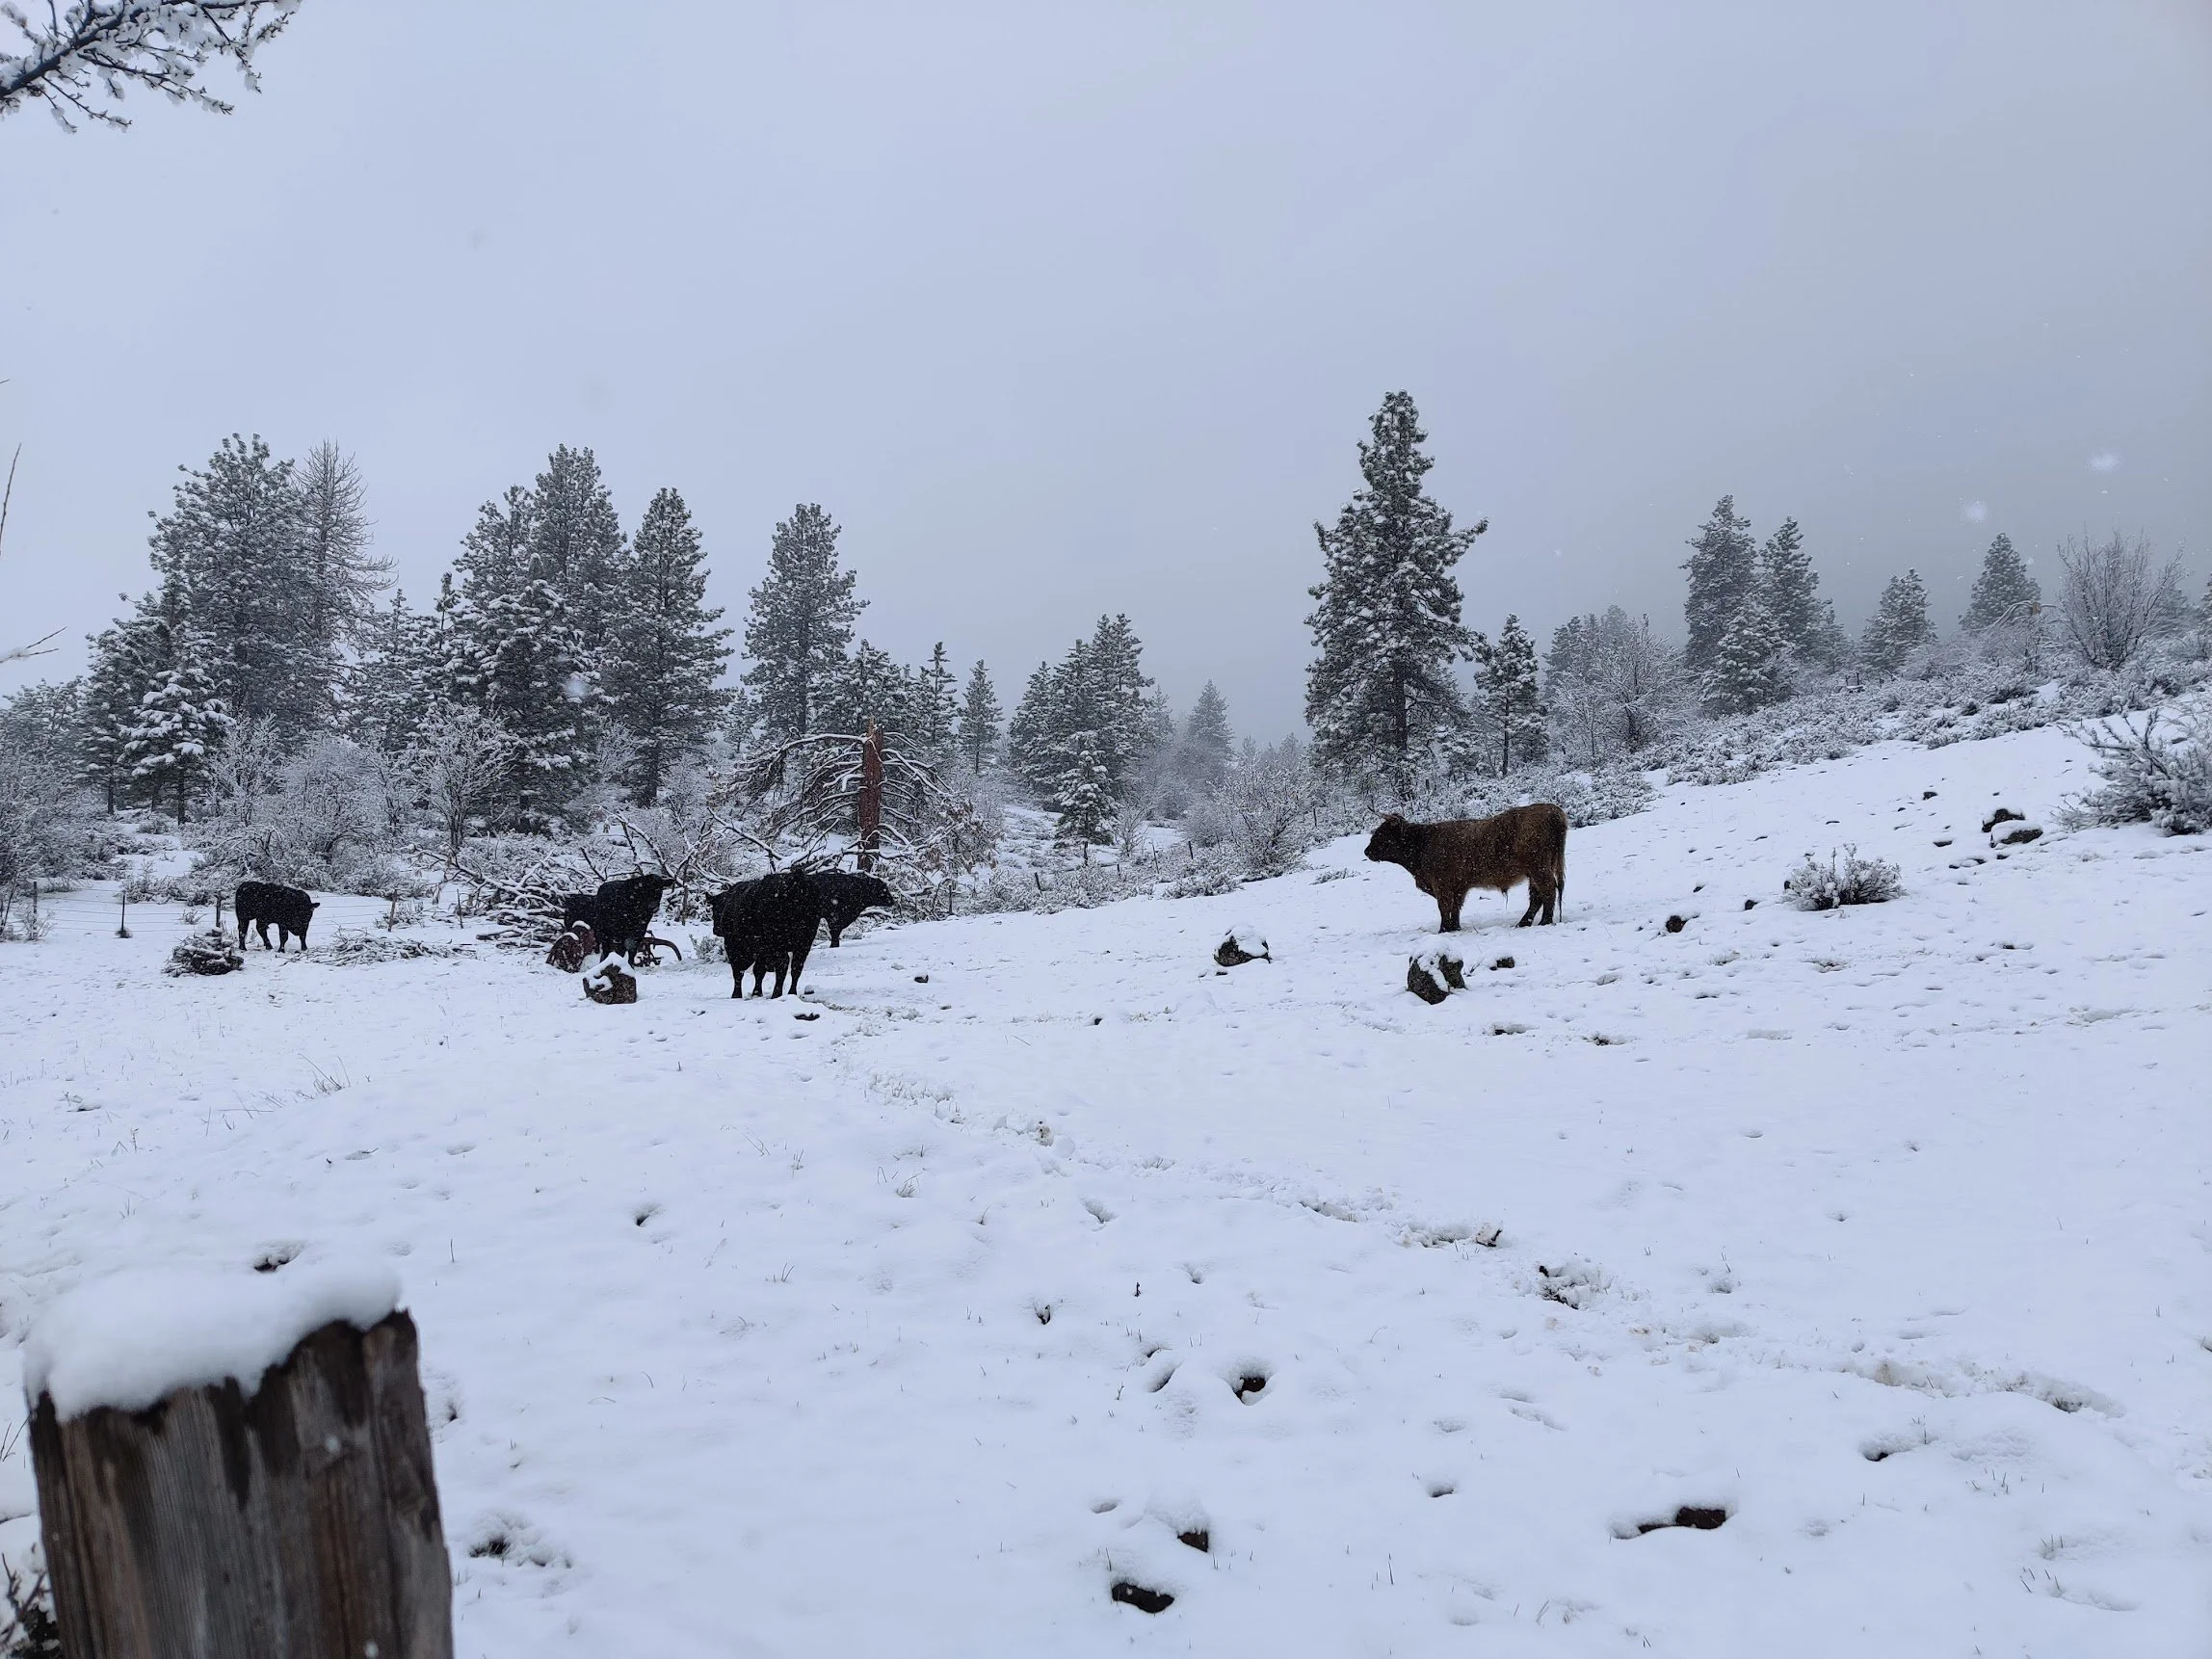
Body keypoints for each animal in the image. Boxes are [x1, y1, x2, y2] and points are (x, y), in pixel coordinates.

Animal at [709, 871, 823, 999]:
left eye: (715, 909)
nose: (716, 930)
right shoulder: (762, 951)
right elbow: (758, 971)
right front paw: (757, 993)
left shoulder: (733, 946)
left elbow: (738, 971)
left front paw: (737, 995)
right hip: (804, 943)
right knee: (796, 966)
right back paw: (791, 993)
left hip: (778, 942)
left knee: (783, 964)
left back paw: (776, 994)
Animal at [1364, 804, 1568, 933]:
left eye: (1381, 833)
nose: (1367, 851)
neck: (1422, 844)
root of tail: (1552, 810)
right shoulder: (1458, 887)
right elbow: (1455, 908)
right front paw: (1454, 927)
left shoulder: (1442, 885)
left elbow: (1444, 907)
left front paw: (1443, 930)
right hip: (1536, 871)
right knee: (1537, 896)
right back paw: (1523, 923)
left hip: (1539, 868)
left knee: (1548, 890)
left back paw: (1545, 921)